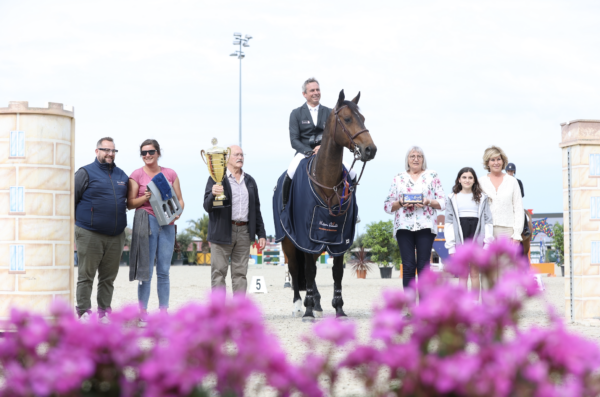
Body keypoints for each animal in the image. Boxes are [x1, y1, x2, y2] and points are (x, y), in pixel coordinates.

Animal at [282, 90, 376, 322]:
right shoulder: (306, 237)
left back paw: (316, 303)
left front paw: (339, 309)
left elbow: (337, 273)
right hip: (289, 242)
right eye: (348, 119)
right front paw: (307, 311)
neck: (326, 180)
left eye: (363, 118)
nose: (370, 149)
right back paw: (299, 306)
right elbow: (306, 271)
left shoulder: (340, 239)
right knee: (296, 270)